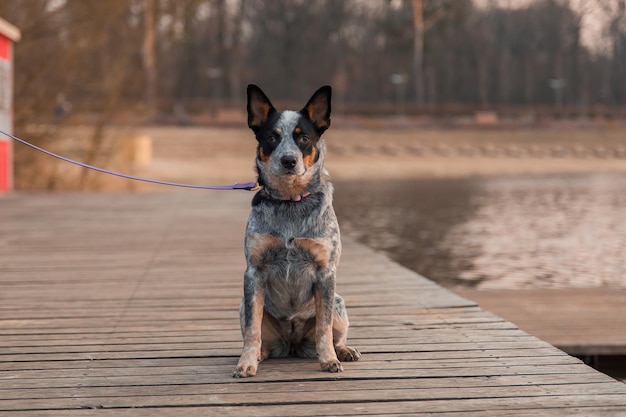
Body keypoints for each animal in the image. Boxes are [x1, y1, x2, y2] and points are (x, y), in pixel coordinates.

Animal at [233, 84, 360, 376]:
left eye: (303, 138)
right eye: (271, 137)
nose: (289, 160)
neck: (290, 202)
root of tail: (291, 345)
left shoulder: (325, 273)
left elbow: (324, 328)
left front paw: (329, 360)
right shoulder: (254, 272)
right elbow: (252, 332)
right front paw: (246, 363)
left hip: (338, 301)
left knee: (335, 333)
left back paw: (344, 351)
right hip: (243, 306)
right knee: (259, 336)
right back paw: (260, 355)